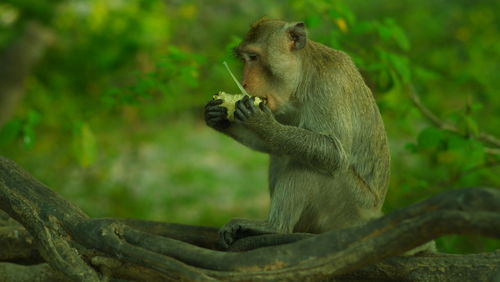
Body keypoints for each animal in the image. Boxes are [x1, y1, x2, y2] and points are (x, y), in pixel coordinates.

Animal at [204, 18, 390, 249]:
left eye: (254, 57)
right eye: (244, 59)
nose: (245, 83)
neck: (303, 80)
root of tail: (373, 215)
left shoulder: (330, 85)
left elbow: (335, 153)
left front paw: (261, 122)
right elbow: (274, 145)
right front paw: (218, 117)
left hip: (350, 207)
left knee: (309, 165)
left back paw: (274, 227)